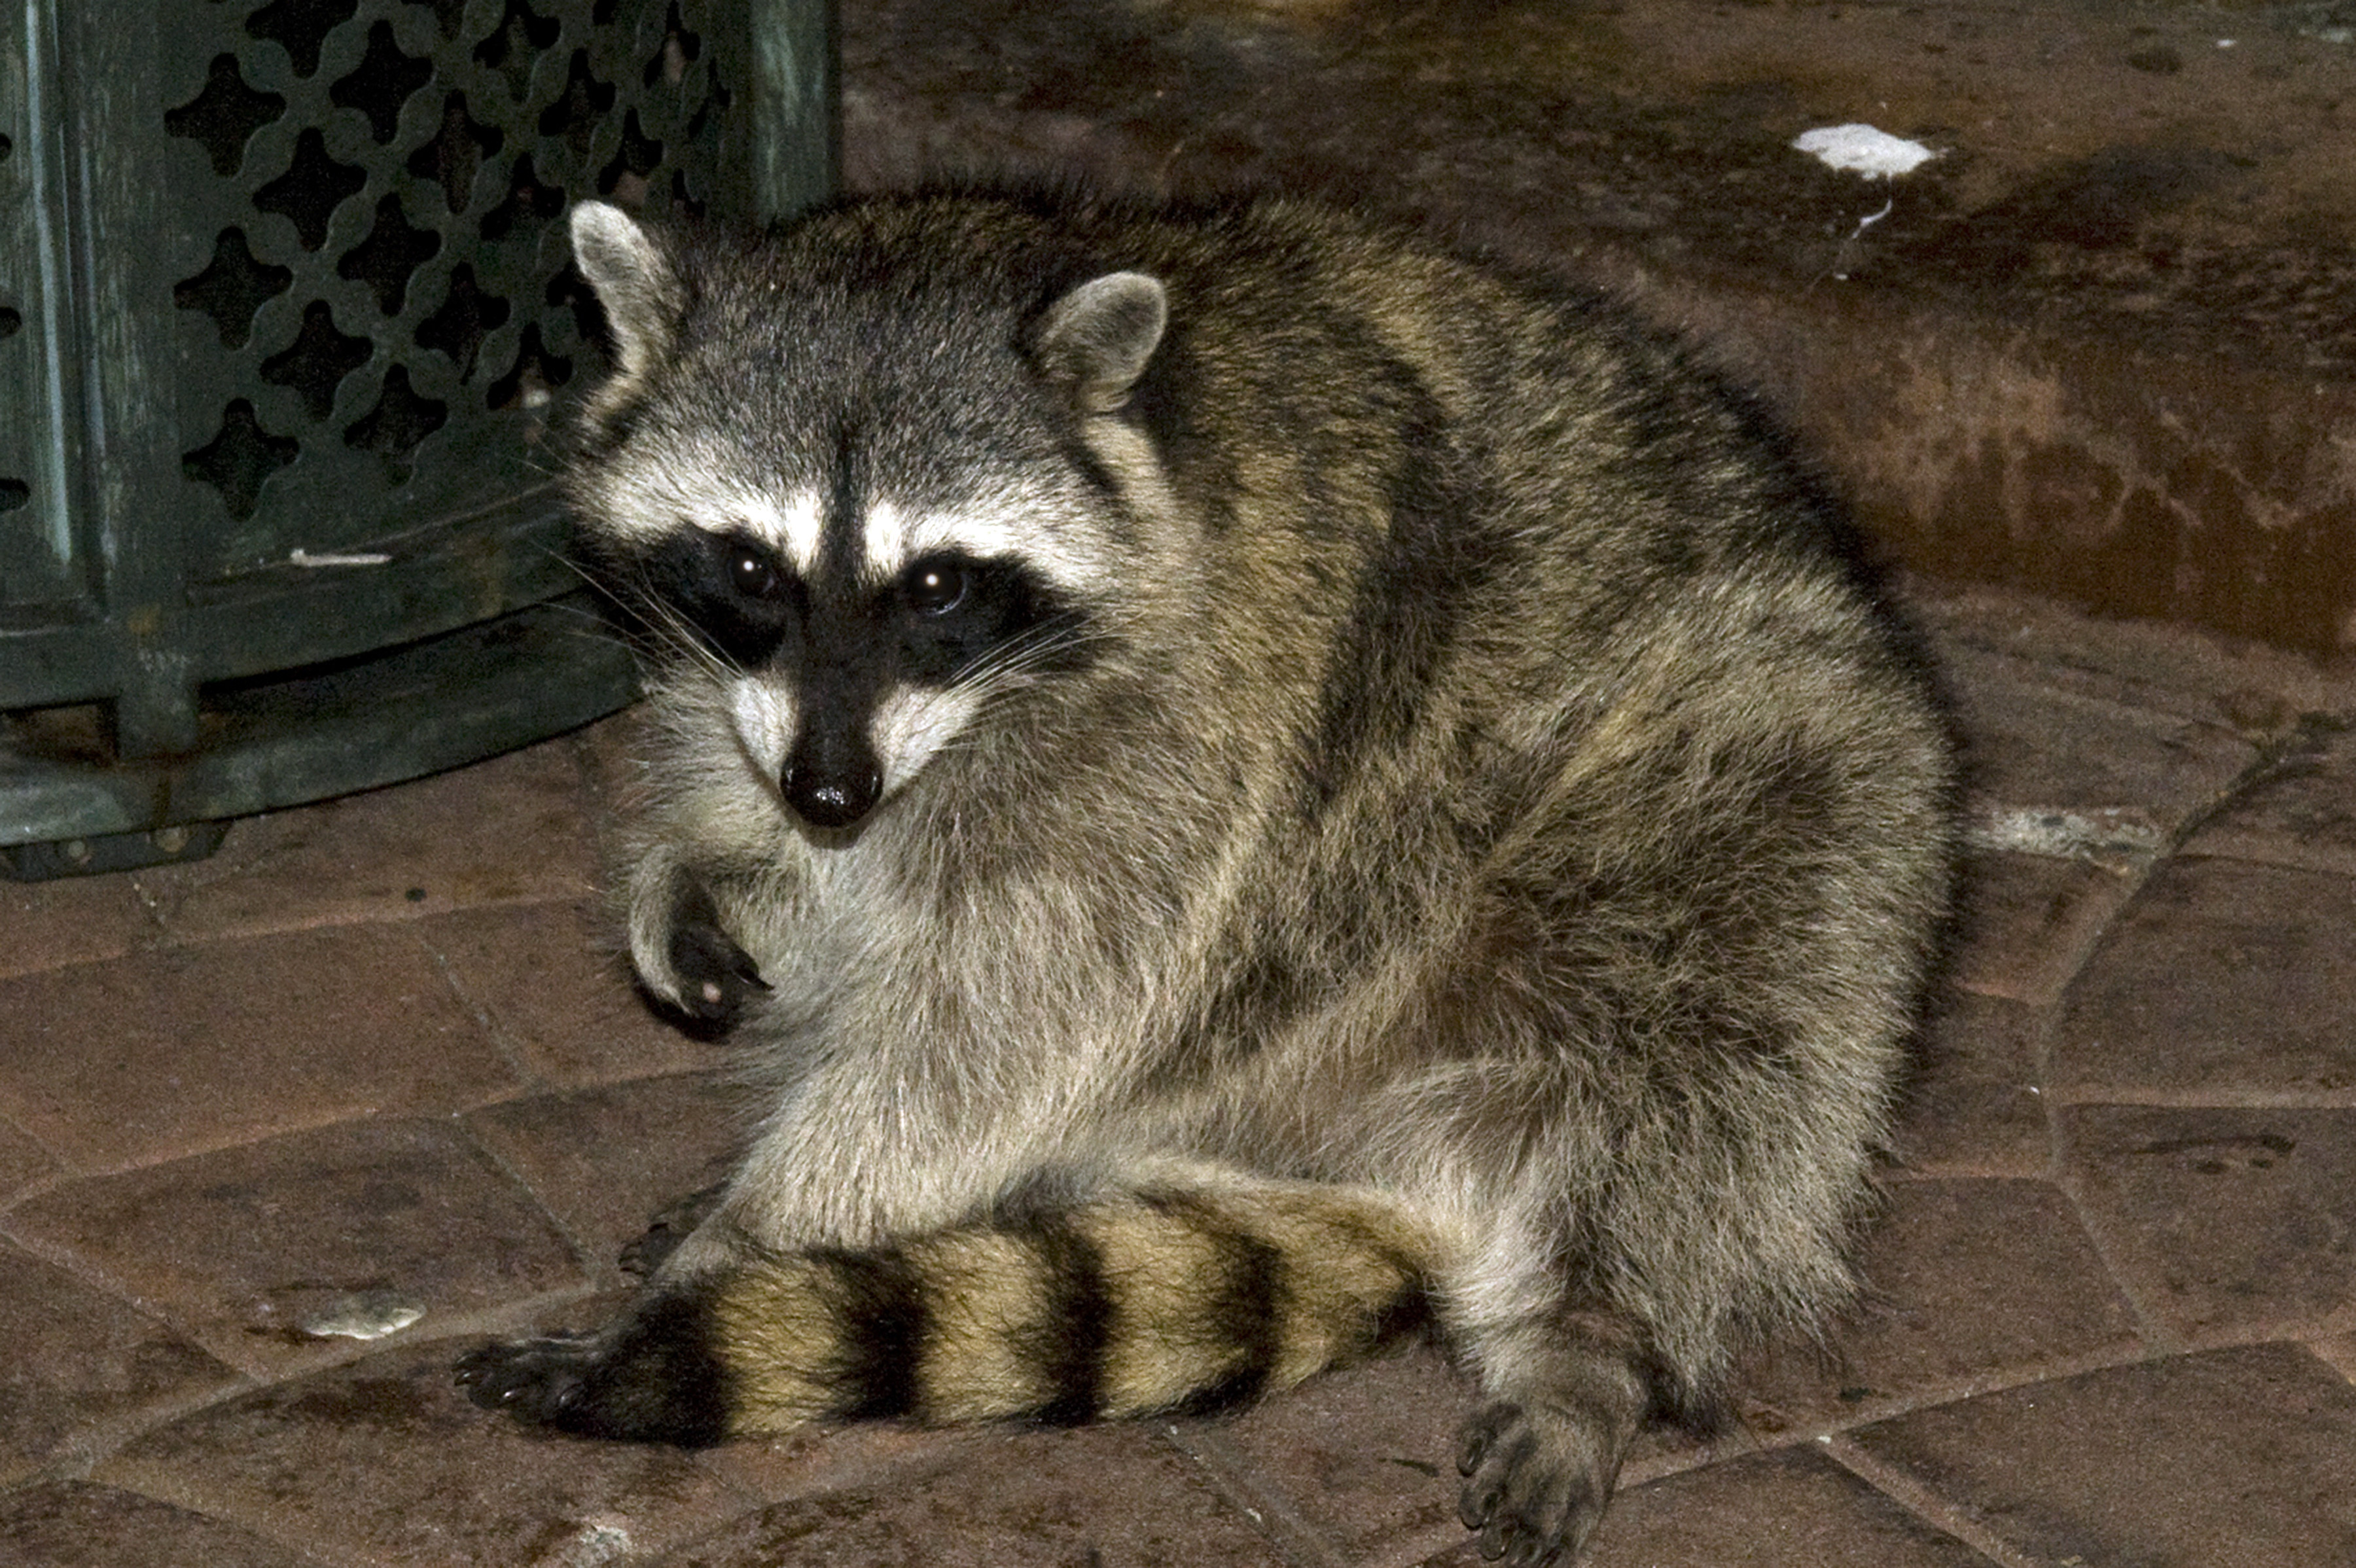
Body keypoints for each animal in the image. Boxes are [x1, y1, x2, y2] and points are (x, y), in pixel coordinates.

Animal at [454, 186, 1950, 1563]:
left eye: (936, 584)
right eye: (752, 565)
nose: (829, 795)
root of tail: (1412, 1172)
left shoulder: (1188, 746)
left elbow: (991, 1037)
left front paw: (743, 1244)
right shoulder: (786, 707)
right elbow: (790, 845)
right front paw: (705, 876)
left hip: (1757, 790)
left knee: (1720, 1013)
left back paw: (1594, 1325)